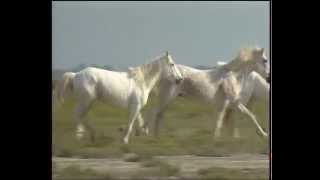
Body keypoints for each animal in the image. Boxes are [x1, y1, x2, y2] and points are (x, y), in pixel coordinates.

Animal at [55, 51, 184, 143]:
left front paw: (140, 132)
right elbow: (131, 122)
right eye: (172, 64)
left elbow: (138, 120)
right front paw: (125, 139)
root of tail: (75, 75)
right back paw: (80, 135)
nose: (180, 79)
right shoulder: (135, 106)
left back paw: (91, 134)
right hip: (86, 100)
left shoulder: (136, 107)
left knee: (82, 115)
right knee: (78, 114)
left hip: (88, 101)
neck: (141, 82)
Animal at [142, 47, 270, 139]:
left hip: (167, 100)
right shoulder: (228, 104)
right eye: (265, 60)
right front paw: (216, 139)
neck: (234, 76)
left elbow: (250, 116)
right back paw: (146, 133)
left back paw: (157, 137)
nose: (268, 77)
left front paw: (264, 134)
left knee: (159, 116)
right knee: (153, 113)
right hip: (166, 98)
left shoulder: (233, 104)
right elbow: (221, 122)